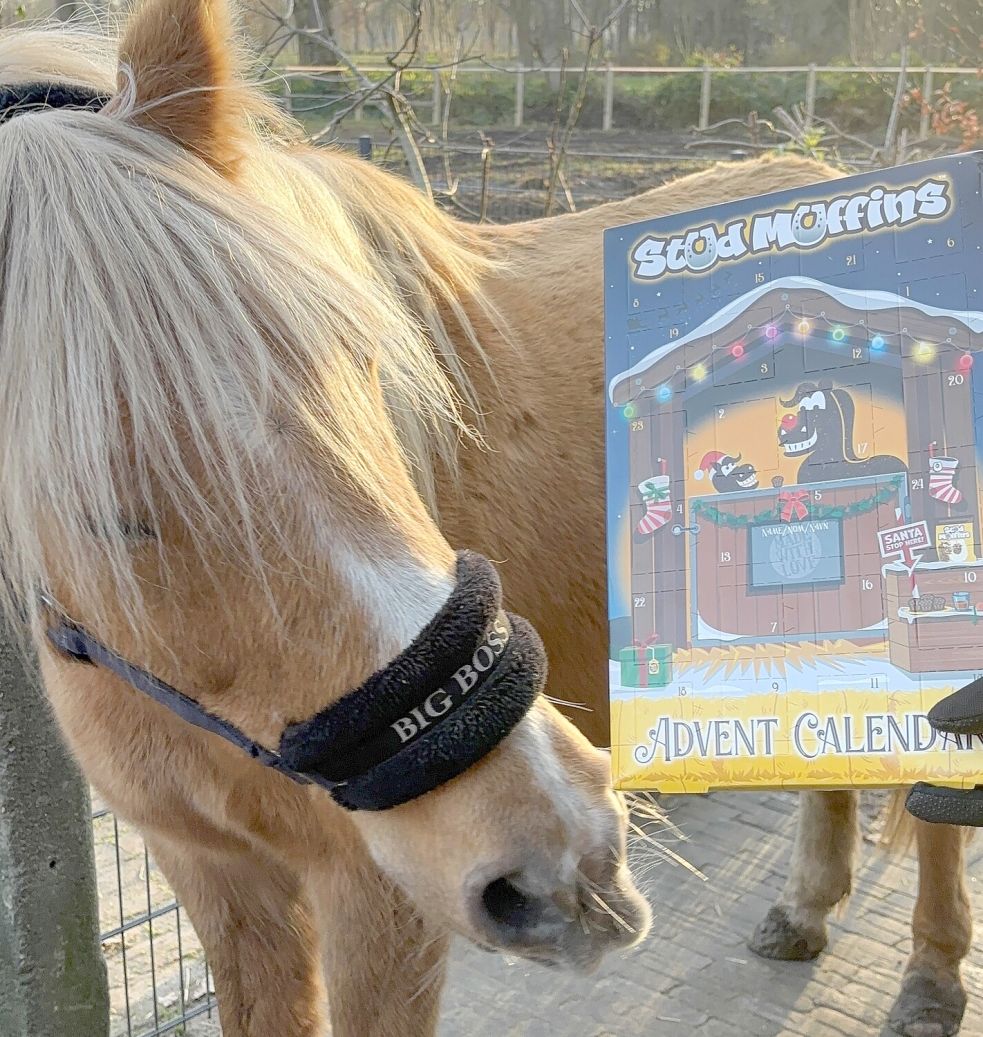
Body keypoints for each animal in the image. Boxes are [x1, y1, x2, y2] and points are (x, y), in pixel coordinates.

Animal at [0, 8, 966, 1037]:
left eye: (364, 361)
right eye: (96, 500)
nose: (563, 855)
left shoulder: (381, 901)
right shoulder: (218, 878)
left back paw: (929, 978)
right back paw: (805, 908)